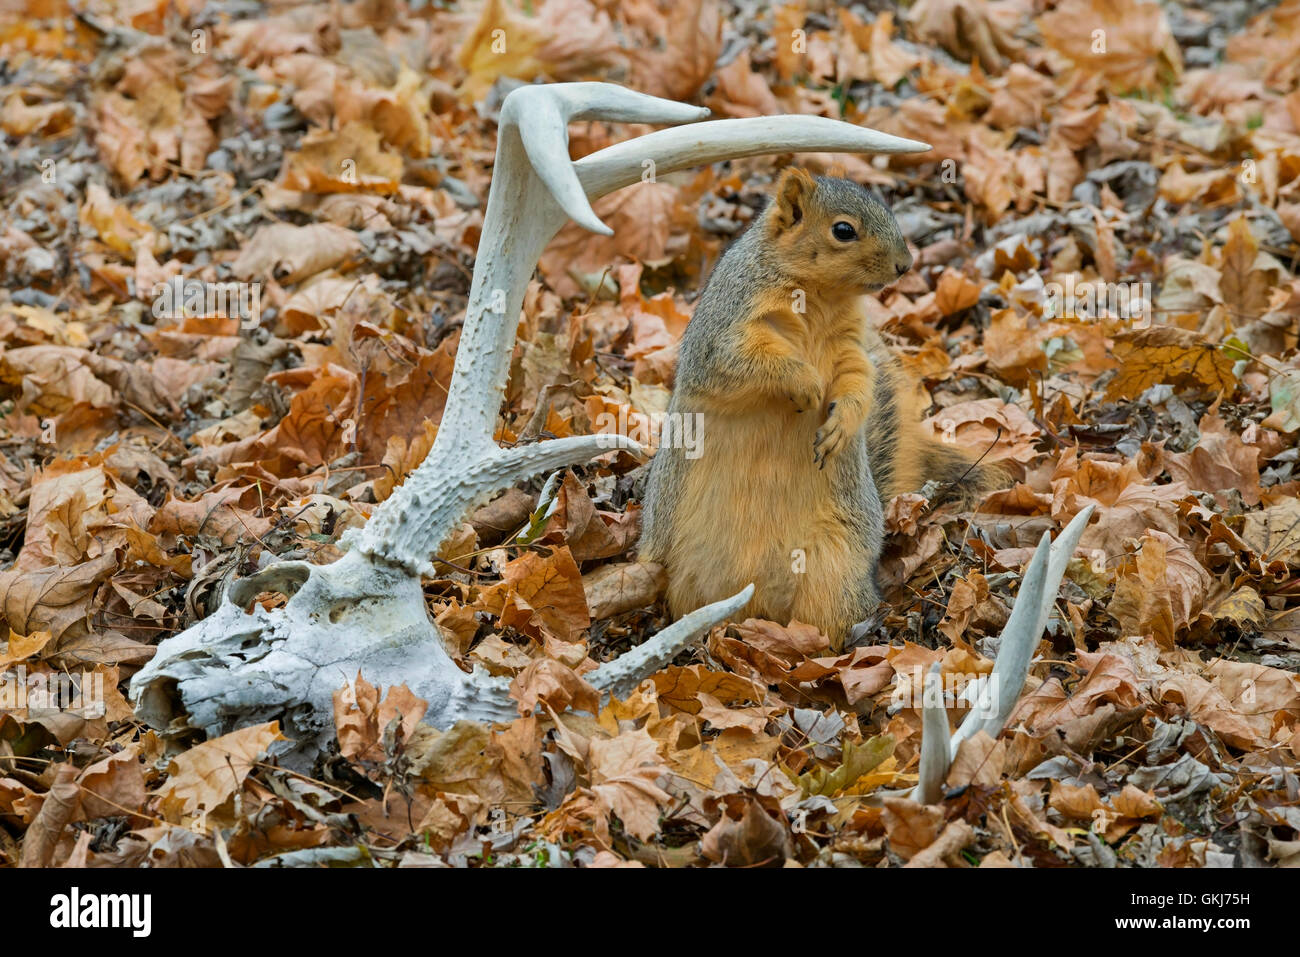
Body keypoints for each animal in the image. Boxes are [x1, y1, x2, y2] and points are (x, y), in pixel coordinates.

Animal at [644, 167, 998, 647]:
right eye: (843, 230)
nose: (905, 264)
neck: (818, 296)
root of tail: (759, 602)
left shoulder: (849, 345)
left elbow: (858, 381)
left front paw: (841, 424)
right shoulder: (727, 329)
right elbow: (744, 359)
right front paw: (804, 382)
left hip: (835, 567)